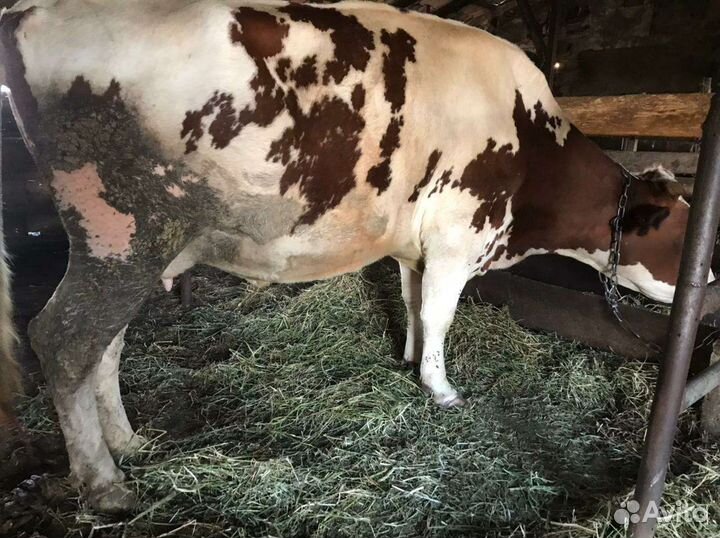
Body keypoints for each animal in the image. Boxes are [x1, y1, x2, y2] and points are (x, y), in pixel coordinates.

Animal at [0, 0, 694, 512]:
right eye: (682, 238)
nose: (708, 277)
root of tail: (35, 10)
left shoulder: (415, 245)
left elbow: (413, 306)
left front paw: (410, 359)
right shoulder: (457, 235)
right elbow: (441, 314)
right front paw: (442, 390)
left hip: (131, 247)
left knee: (104, 343)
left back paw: (129, 440)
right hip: (117, 231)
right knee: (63, 338)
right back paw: (104, 483)